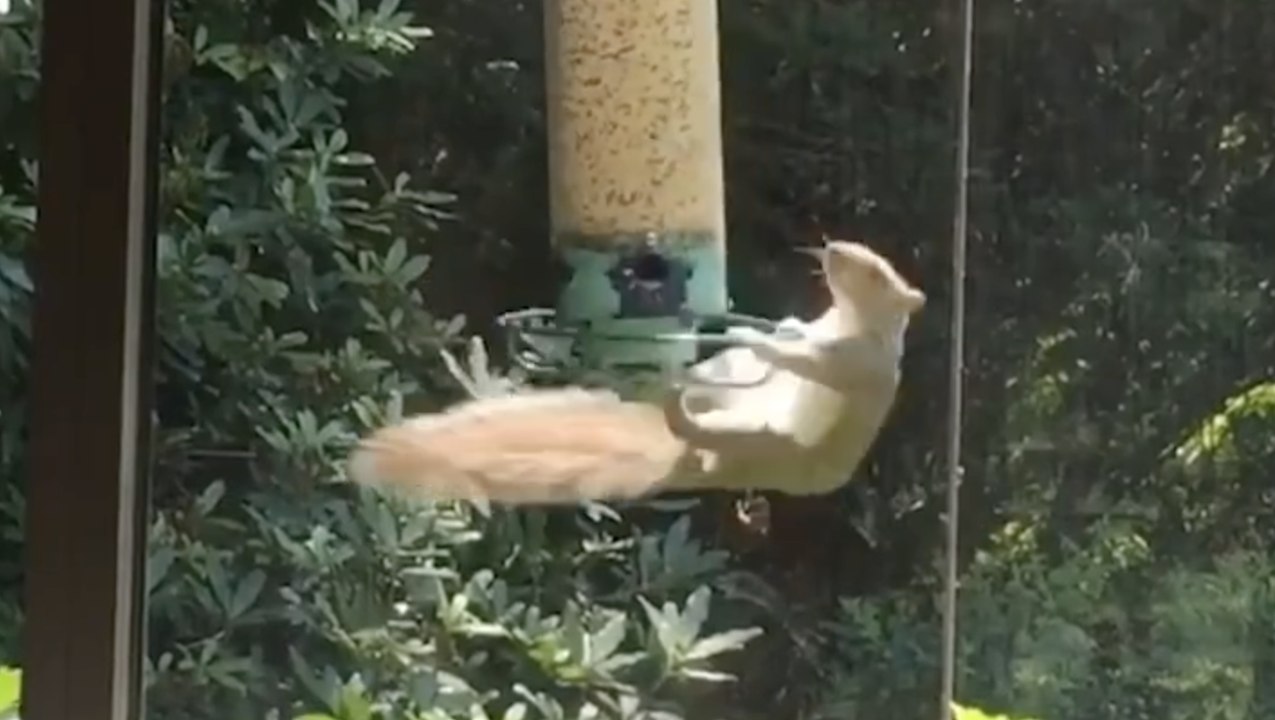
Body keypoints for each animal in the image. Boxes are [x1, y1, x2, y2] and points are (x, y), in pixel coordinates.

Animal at [346, 240, 925, 505]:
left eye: (878, 274)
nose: (830, 248)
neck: (850, 318)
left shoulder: (854, 362)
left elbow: (807, 361)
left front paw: (755, 337)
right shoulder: (828, 331)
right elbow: (801, 339)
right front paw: (781, 328)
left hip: (757, 437)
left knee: (696, 428)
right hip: (739, 406)